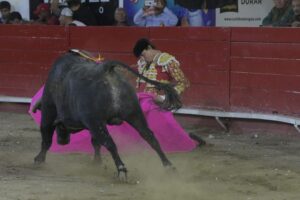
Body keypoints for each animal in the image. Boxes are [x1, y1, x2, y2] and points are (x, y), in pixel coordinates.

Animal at [34, 50, 182, 179]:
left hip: (96, 121)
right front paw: (97, 162)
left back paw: (121, 170)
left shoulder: (49, 113)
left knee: (110, 143)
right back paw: (169, 166)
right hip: (134, 113)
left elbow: (46, 138)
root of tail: (106, 70)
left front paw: (39, 160)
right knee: (149, 136)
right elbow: (95, 142)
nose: (62, 141)